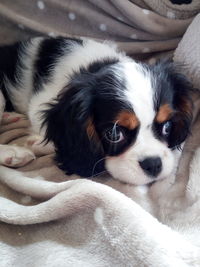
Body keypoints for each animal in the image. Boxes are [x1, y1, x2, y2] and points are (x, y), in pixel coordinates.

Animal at [0, 36, 194, 185]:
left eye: (167, 126)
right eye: (114, 134)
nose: (153, 164)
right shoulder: (40, 103)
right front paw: (38, 143)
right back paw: (13, 153)